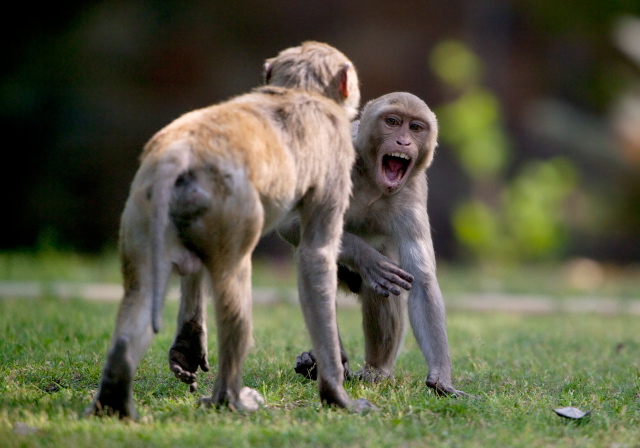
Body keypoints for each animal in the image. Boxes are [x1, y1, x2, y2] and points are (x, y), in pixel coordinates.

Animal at [84, 42, 376, 420]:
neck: (297, 91)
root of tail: (179, 154)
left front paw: (189, 345)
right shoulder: (339, 154)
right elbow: (316, 255)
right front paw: (335, 394)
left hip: (145, 209)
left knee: (142, 292)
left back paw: (114, 399)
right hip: (232, 208)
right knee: (234, 284)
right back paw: (229, 398)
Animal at [278, 93, 468, 398]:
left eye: (416, 127)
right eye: (392, 122)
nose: (403, 142)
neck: (370, 177)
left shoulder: (411, 193)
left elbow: (422, 282)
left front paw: (441, 378)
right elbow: (290, 223)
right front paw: (365, 256)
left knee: (383, 290)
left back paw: (375, 371)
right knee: (317, 263)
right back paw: (326, 363)